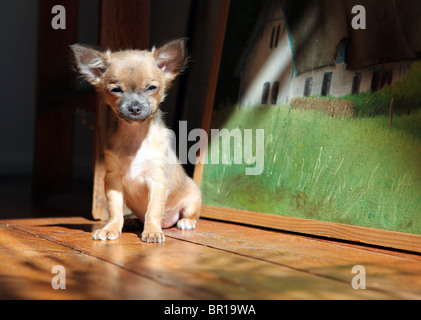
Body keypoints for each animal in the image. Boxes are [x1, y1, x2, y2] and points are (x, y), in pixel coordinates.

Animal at [71, 39, 201, 242]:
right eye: (115, 90)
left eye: (151, 88)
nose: (134, 108)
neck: (135, 138)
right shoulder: (113, 180)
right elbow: (115, 210)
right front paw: (111, 228)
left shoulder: (157, 180)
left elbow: (153, 210)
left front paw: (153, 231)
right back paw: (132, 221)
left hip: (194, 197)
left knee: (191, 214)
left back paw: (186, 222)